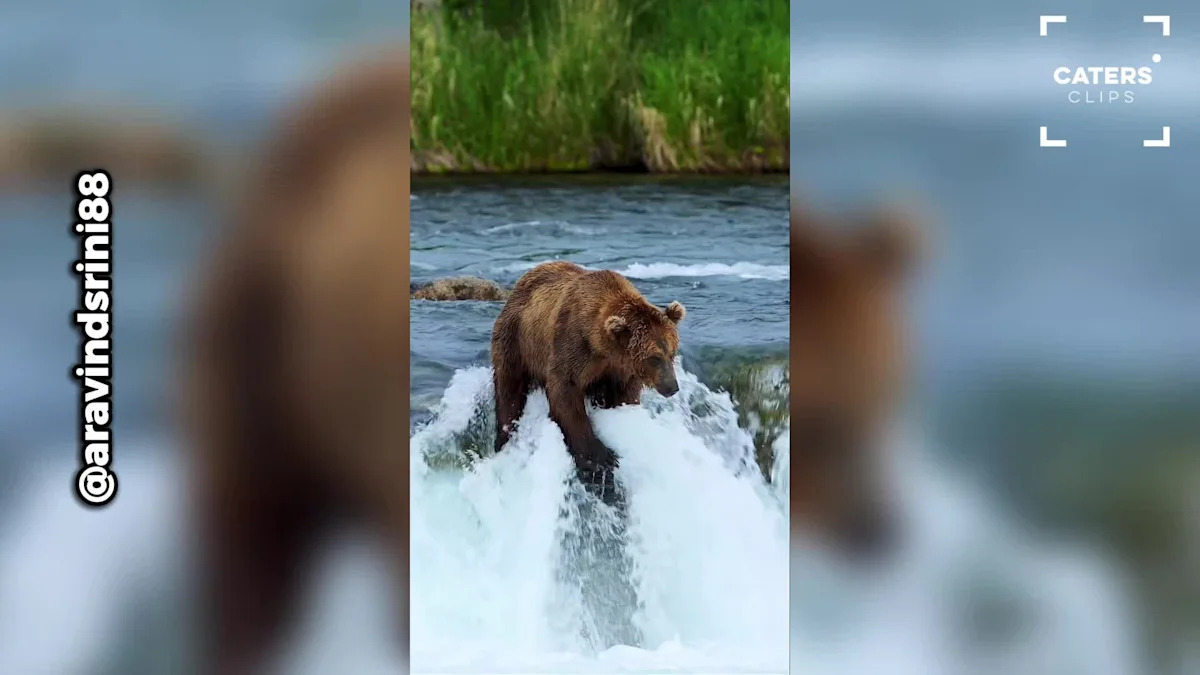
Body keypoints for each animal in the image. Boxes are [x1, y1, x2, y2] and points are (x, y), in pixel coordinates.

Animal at [491, 261, 685, 495]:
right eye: (654, 357)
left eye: (672, 352)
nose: (671, 387)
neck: (601, 345)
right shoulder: (572, 347)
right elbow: (564, 393)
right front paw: (600, 456)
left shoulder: (617, 368)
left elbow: (624, 394)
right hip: (517, 338)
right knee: (509, 388)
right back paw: (503, 436)